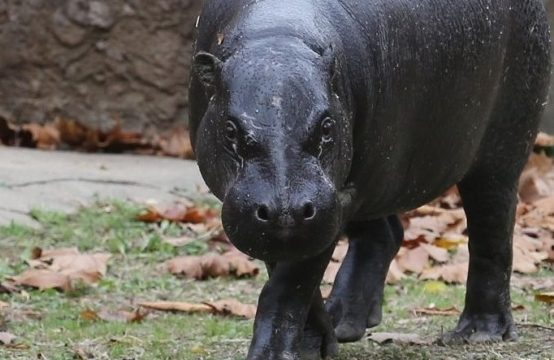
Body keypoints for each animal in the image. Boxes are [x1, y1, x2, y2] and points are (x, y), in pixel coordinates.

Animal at [189, 0, 548, 360]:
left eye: (327, 125)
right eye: (230, 130)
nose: (286, 211)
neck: (277, 38)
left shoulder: (333, 200)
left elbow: (289, 285)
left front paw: (276, 354)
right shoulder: (285, 214)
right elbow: (288, 274)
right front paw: (315, 344)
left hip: (501, 149)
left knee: (492, 232)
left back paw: (478, 333)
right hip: (374, 178)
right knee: (386, 234)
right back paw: (345, 322)